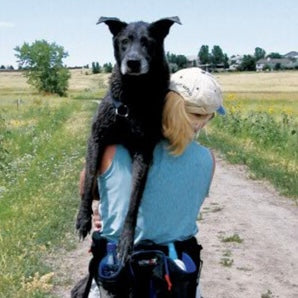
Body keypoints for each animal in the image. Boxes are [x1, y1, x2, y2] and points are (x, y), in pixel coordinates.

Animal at [75, 16, 180, 264]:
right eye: (124, 41)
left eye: (148, 42)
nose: (132, 62)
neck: (133, 96)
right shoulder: (96, 138)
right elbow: (90, 175)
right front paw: (83, 218)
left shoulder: (143, 152)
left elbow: (134, 198)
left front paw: (126, 239)